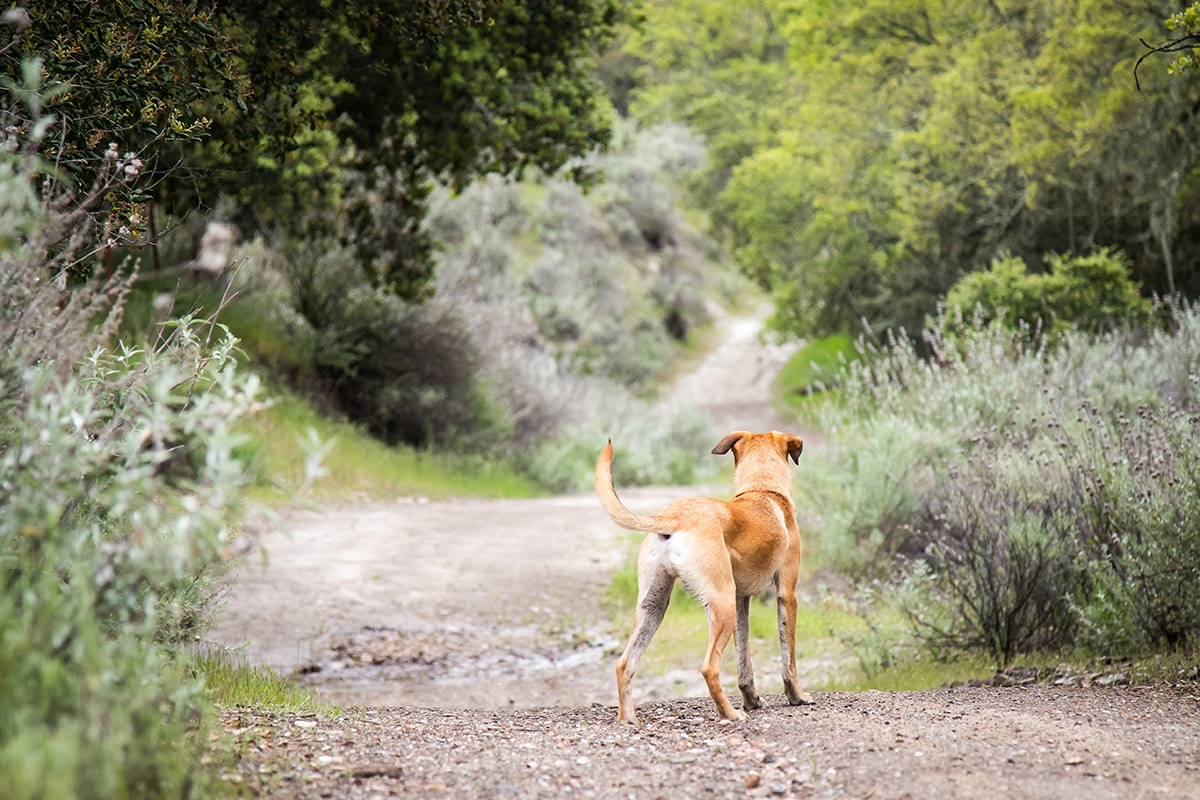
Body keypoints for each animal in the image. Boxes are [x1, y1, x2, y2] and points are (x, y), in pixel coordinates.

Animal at [597, 431, 816, 724]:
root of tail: (673, 516)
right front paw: (797, 696)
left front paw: (752, 699)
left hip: (654, 608)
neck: (762, 491)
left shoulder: (741, 602)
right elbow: (788, 657)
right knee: (709, 668)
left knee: (624, 664)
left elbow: (744, 660)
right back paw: (730, 713)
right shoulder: (786, 595)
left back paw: (628, 719)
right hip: (721, 604)